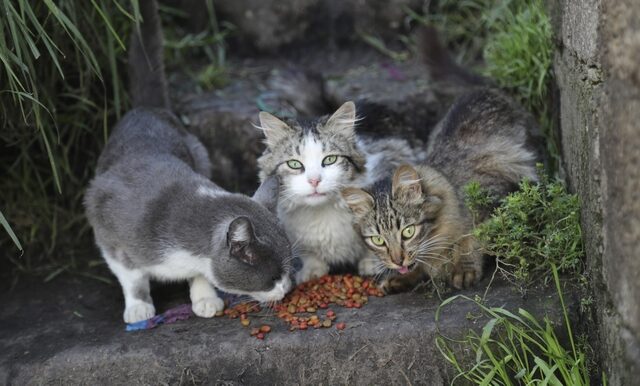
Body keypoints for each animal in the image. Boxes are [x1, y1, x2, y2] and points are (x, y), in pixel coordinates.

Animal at [85, 0, 292, 324]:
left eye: (288, 270)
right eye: (272, 277)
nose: (288, 288)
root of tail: (146, 109)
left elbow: (200, 273)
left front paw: (205, 298)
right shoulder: (107, 226)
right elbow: (131, 275)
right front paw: (138, 306)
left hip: (200, 153)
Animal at [258, 102, 418, 284]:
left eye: (330, 159)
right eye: (294, 164)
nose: (314, 181)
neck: (321, 212)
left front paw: (372, 264)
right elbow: (310, 254)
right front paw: (312, 270)